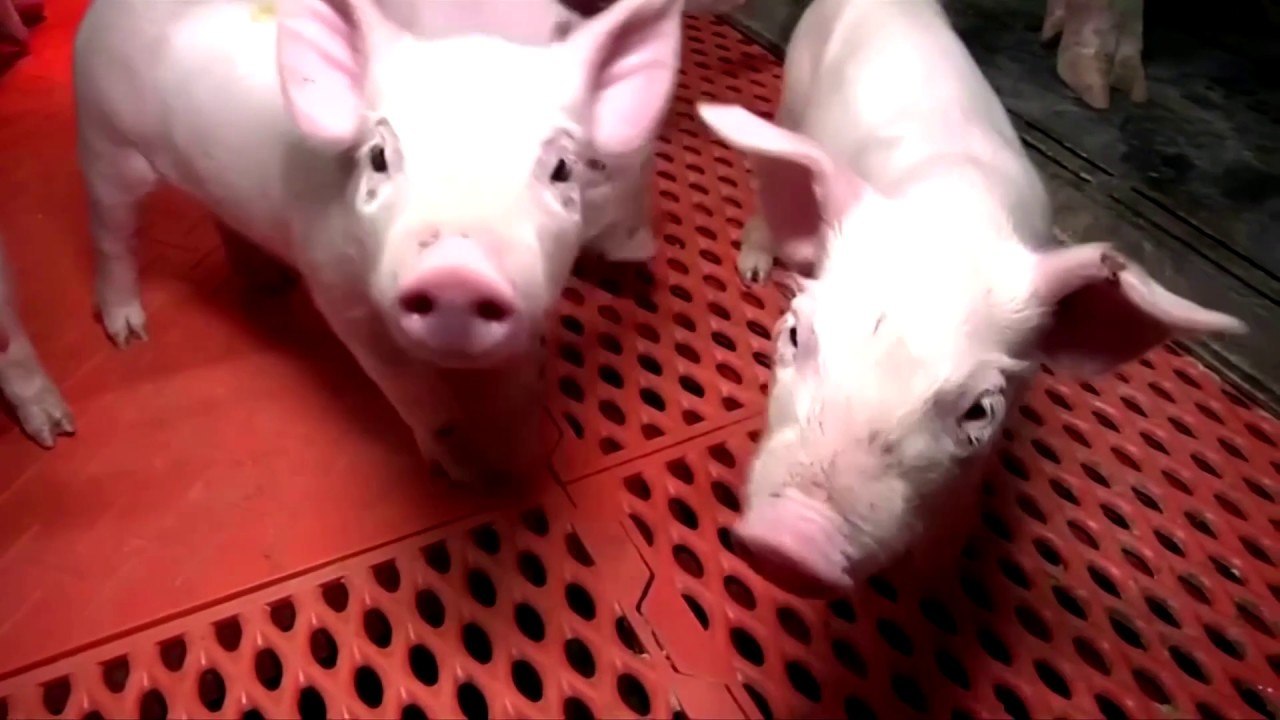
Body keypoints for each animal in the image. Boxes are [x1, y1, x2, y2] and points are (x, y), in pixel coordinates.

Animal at [73, 0, 684, 481]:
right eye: (379, 156)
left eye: (562, 168)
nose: (457, 269)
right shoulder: (337, 291)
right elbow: (413, 391)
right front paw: (463, 477)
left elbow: (517, 384)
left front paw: (518, 461)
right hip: (104, 140)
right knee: (111, 234)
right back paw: (129, 334)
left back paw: (268, 284)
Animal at [696, 0, 1245, 597]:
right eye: (795, 333)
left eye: (980, 410)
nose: (789, 543)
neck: (953, 220)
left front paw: (936, 579)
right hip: (793, 92)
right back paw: (753, 268)